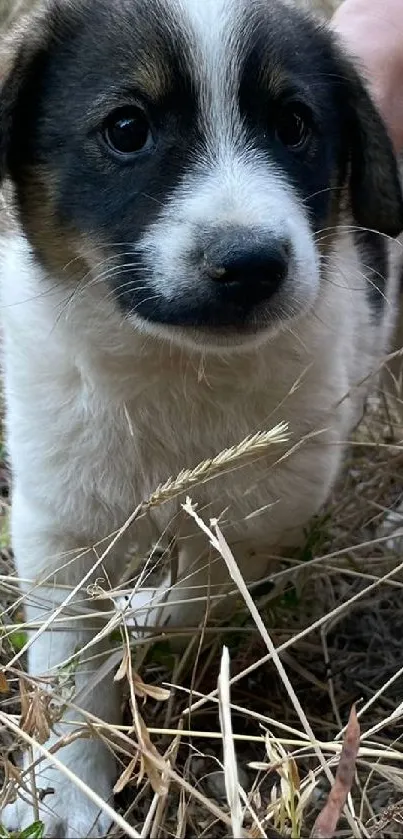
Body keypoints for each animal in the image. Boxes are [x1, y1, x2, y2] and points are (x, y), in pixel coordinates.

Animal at [0, 0, 403, 836]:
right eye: (127, 128)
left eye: (293, 125)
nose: (251, 264)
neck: (173, 366)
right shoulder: (57, 523)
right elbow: (70, 673)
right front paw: (67, 792)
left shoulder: (262, 509)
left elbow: (201, 593)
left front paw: (147, 616)